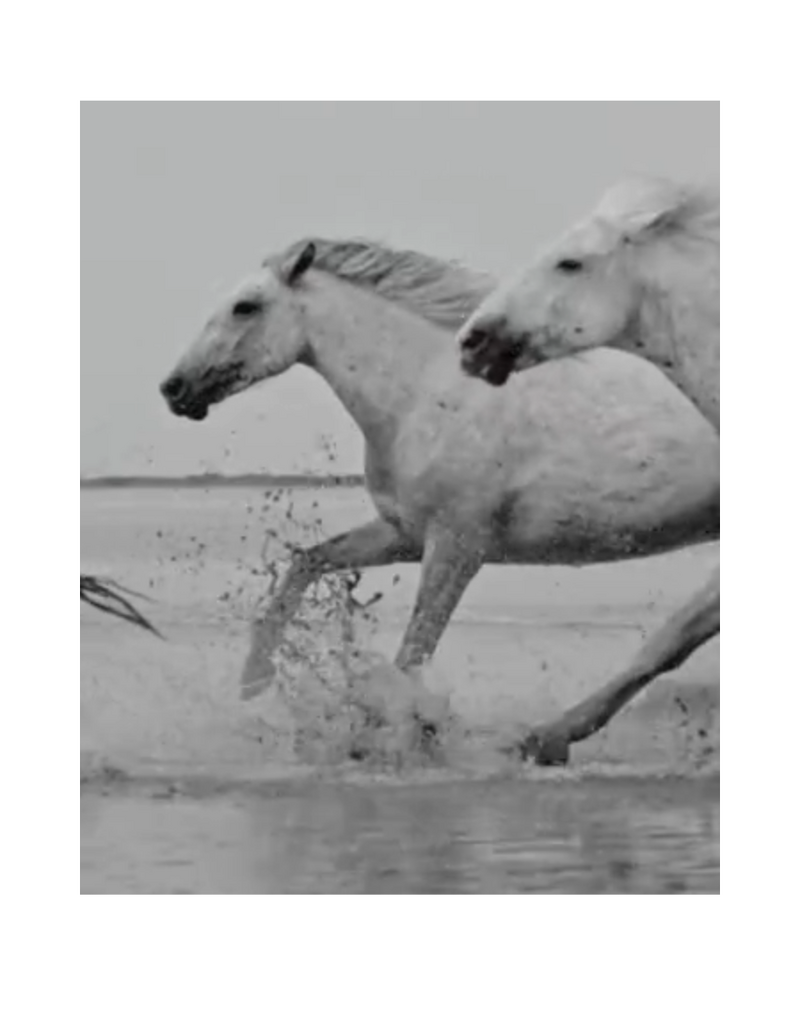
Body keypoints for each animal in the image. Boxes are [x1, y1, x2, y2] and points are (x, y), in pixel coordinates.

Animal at [160, 237, 719, 761]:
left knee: (676, 636)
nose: (174, 388)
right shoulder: (405, 534)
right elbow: (309, 561)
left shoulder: (458, 543)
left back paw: (545, 738)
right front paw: (254, 679)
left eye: (245, 306)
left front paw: (389, 734)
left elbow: (413, 651)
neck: (428, 394)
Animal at [458, 176, 719, 763]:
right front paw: (551, 734)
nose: (472, 341)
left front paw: (549, 735)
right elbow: (674, 636)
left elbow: (675, 633)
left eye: (569, 262)